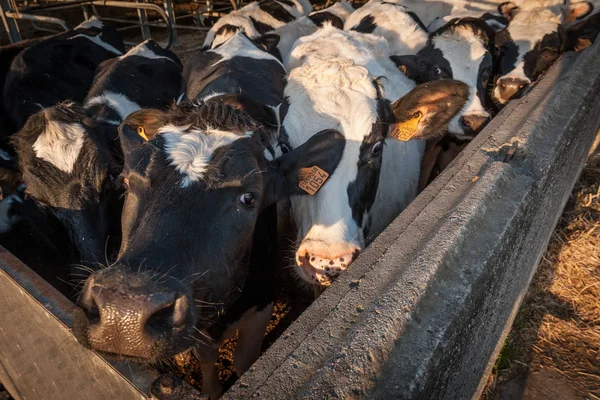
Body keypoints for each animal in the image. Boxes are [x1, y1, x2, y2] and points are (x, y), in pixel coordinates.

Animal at [72, 99, 344, 396]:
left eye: (250, 197)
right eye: (126, 182)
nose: (123, 313)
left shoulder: (262, 302)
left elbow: (244, 360)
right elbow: (206, 356)